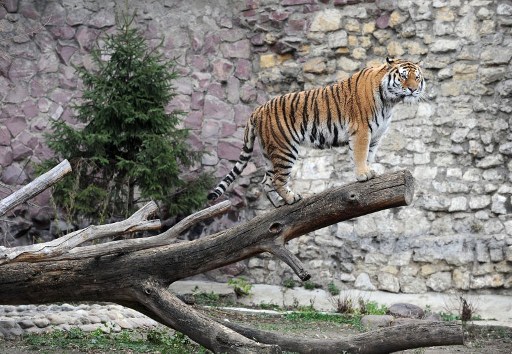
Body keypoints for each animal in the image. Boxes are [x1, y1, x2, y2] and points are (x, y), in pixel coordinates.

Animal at [207, 58, 424, 207]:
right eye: (403, 76)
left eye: (417, 77)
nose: (413, 90)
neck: (390, 102)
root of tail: (257, 110)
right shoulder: (362, 131)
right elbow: (360, 154)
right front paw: (363, 175)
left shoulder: (376, 136)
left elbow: (369, 155)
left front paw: (369, 171)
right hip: (284, 148)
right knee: (277, 179)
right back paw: (291, 198)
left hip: (269, 152)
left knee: (266, 180)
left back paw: (279, 204)